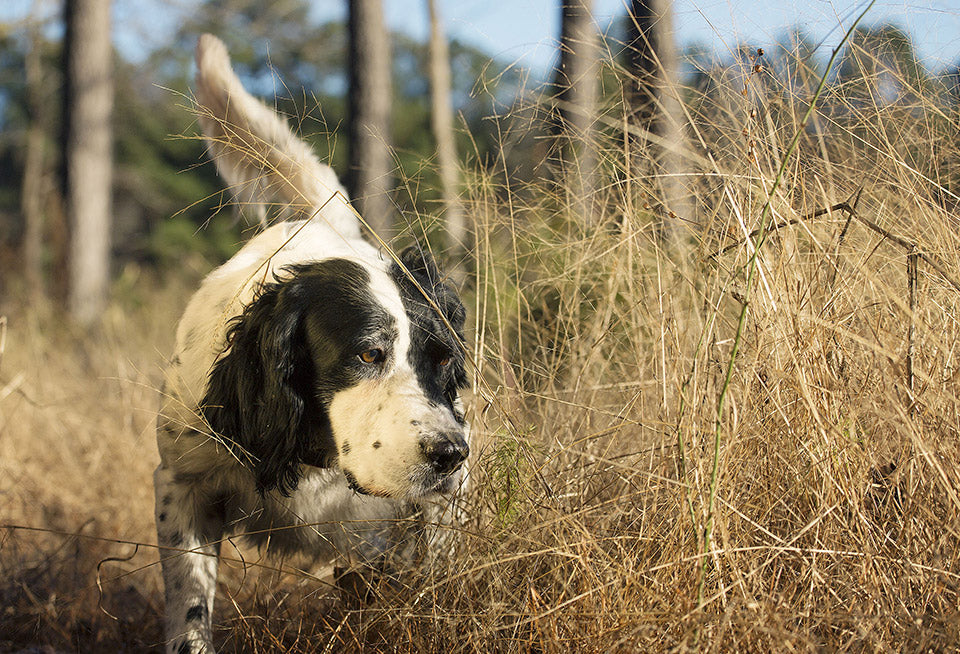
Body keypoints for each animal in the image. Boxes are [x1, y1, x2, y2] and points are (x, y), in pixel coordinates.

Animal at [156, 37, 470, 654]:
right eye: (368, 354)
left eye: (443, 360)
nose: (451, 454)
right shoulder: (182, 485)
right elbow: (189, 609)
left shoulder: (428, 517)